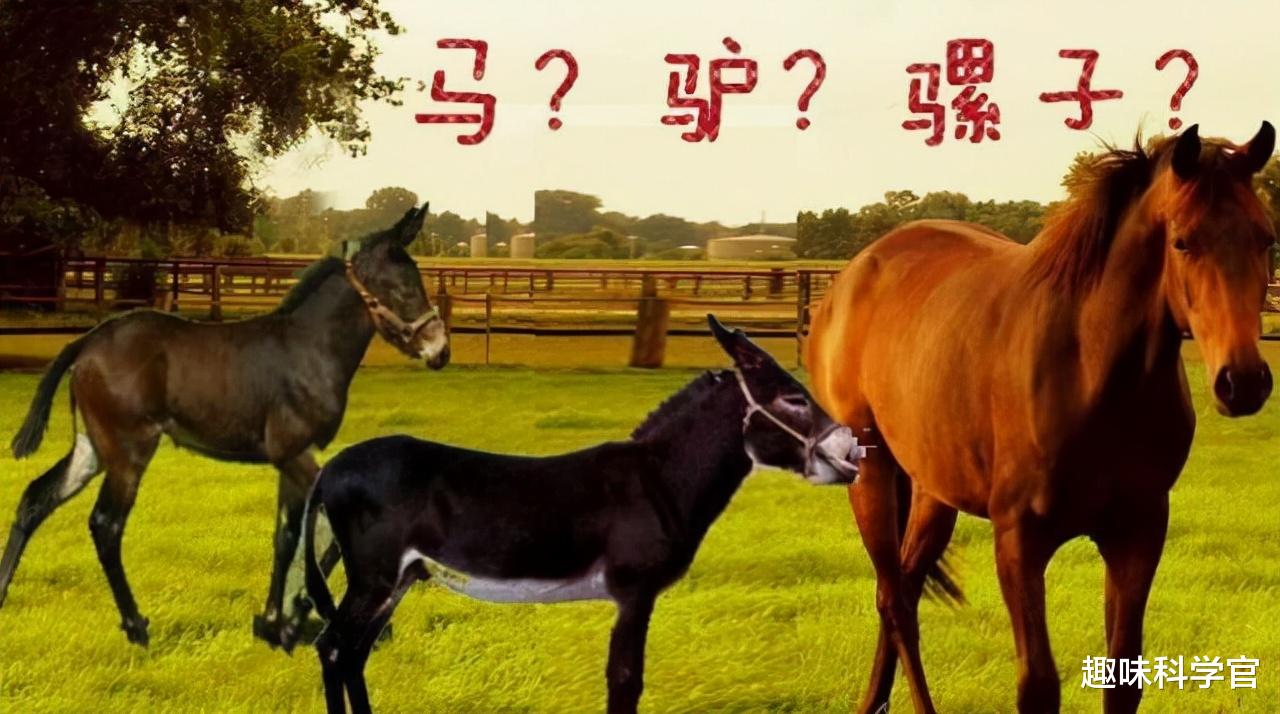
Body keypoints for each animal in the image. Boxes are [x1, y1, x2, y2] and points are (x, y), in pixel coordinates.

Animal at [0, 203, 450, 649]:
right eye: (401, 286)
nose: (440, 350)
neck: (309, 349)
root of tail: (87, 341)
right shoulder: (294, 454)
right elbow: (324, 537)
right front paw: (299, 618)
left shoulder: (291, 459)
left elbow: (286, 537)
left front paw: (274, 623)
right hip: (129, 451)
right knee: (106, 525)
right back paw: (137, 628)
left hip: (92, 447)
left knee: (36, 499)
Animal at [301, 316, 866, 714]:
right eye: (794, 399)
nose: (855, 452)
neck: (658, 480)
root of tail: (331, 468)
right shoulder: (635, 592)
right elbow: (625, 681)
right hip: (374, 576)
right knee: (333, 648)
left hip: (398, 579)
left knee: (353, 652)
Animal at [805, 123, 1275, 713]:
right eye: (1183, 241)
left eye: (1265, 238)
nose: (1244, 381)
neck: (1090, 372)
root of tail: (853, 274)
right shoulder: (1019, 542)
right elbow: (1037, 685)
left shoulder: (1138, 532)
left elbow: (1123, 678)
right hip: (869, 470)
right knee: (893, 600)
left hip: (933, 491)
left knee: (905, 591)